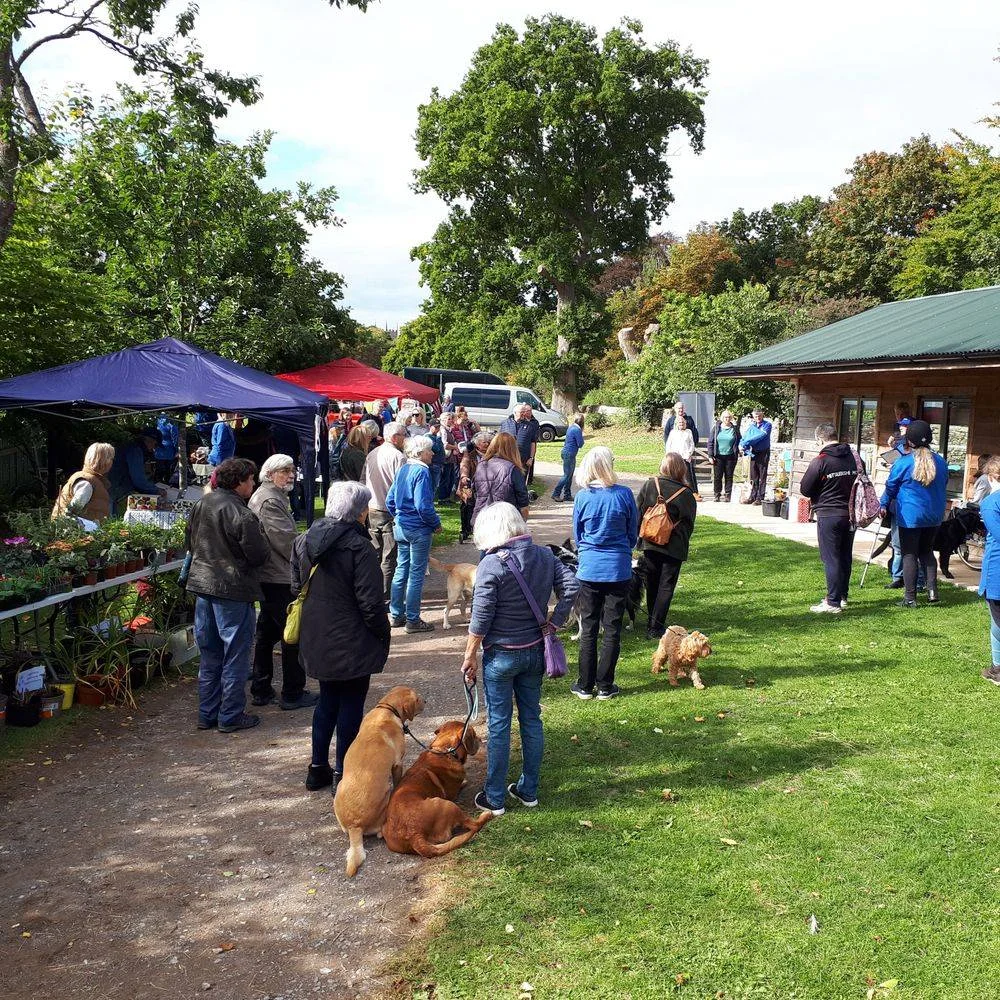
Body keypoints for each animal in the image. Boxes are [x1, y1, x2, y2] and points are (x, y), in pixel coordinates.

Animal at [336, 688, 426, 876]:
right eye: (417, 699)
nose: (426, 702)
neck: (387, 709)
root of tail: (355, 826)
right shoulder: (398, 763)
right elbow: (398, 780)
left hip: (340, 784)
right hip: (385, 793)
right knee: (379, 832)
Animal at [380, 720, 494, 860]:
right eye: (474, 734)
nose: (480, 739)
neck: (445, 751)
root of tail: (414, 836)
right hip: (448, 804)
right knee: (474, 825)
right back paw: (486, 815)